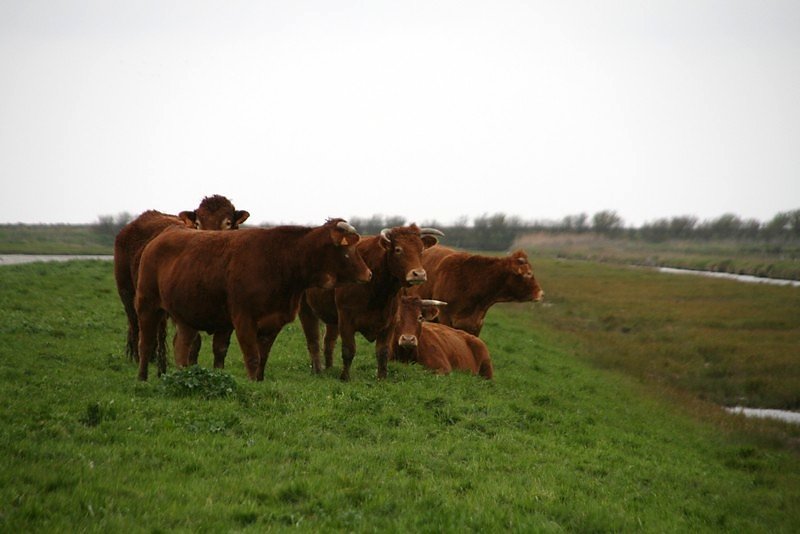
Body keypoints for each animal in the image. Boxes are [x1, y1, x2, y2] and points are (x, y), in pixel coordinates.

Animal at [114, 195, 249, 364]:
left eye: (228, 223)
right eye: (197, 224)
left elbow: (220, 348)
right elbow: (194, 345)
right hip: (128, 293)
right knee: (136, 327)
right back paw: (139, 359)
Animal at [135, 219, 371, 381]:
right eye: (349, 249)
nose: (369, 274)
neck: (280, 260)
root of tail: (165, 233)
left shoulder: (273, 322)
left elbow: (263, 358)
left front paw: (259, 381)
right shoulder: (243, 320)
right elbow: (252, 357)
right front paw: (251, 383)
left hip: (186, 318)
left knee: (181, 346)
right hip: (147, 307)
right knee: (145, 344)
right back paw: (142, 378)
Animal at [299, 224, 443, 380]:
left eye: (421, 250)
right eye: (398, 249)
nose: (419, 274)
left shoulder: (390, 322)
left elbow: (383, 352)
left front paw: (382, 378)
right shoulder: (346, 319)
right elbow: (349, 349)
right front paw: (345, 378)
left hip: (332, 319)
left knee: (328, 342)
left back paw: (329, 368)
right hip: (306, 309)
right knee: (313, 340)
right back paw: (317, 370)